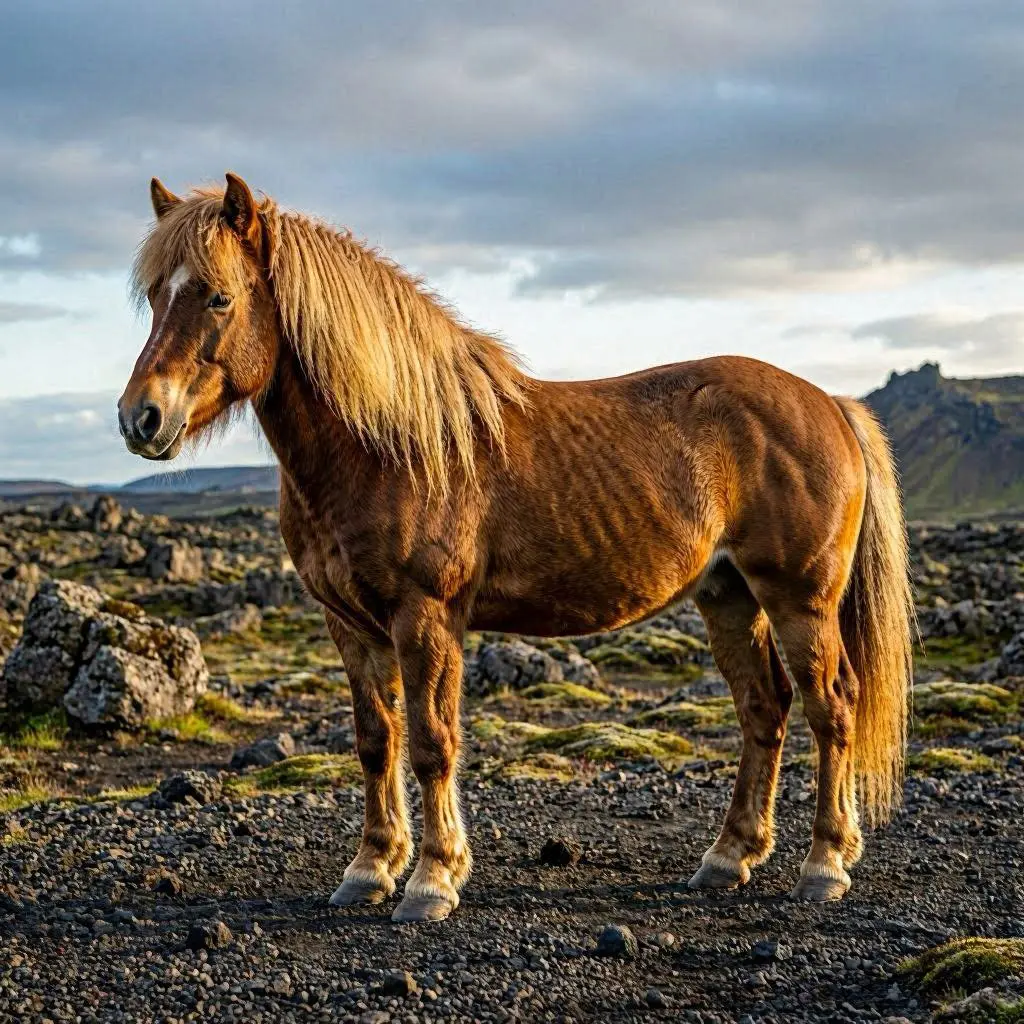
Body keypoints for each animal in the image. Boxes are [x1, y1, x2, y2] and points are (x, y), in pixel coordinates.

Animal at [119, 173, 915, 923]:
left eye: (219, 297)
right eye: (156, 296)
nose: (140, 418)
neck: (388, 445)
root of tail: (830, 404)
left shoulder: (426, 617)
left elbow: (432, 742)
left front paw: (433, 880)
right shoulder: (350, 625)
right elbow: (377, 741)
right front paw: (370, 870)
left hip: (800, 601)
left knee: (831, 708)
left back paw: (824, 864)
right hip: (729, 598)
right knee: (764, 709)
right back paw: (730, 856)